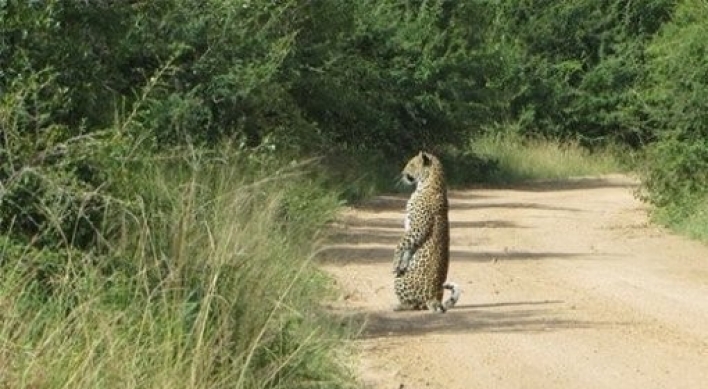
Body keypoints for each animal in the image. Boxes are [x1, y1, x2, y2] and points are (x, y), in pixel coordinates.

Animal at [392, 149, 460, 312]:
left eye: (411, 164)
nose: (402, 173)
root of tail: (434, 298)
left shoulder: (417, 228)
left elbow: (401, 244)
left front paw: (395, 262)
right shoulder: (412, 229)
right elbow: (408, 247)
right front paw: (402, 262)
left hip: (400, 281)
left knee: (414, 305)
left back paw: (398, 306)